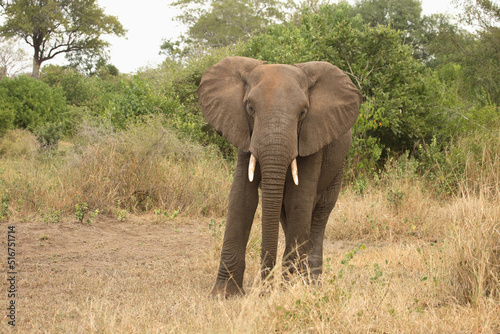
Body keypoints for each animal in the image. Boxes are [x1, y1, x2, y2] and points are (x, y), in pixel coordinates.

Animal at [197, 55, 362, 298]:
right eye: (250, 107)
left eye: (303, 112)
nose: (263, 290)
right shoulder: (245, 133)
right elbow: (242, 198)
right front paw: (223, 295)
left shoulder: (311, 136)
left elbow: (298, 200)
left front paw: (287, 291)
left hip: (338, 166)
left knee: (319, 214)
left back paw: (312, 283)